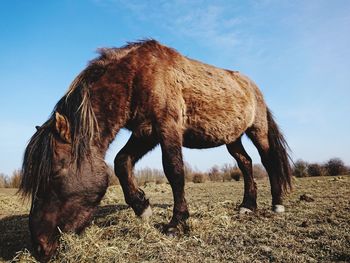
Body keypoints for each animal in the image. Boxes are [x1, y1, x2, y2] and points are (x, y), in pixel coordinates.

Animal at [19, 39, 292, 262]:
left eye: (55, 172)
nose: (39, 247)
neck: (137, 75)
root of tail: (251, 85)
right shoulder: (145, 133)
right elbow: (121, 162)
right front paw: (142, 208)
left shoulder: (166, 128)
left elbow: (174, 171)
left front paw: (176, 223)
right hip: (232, 138)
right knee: (245, 163)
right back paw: (248, 205)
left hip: (257, 130)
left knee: (268, 162)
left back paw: (277, 204)